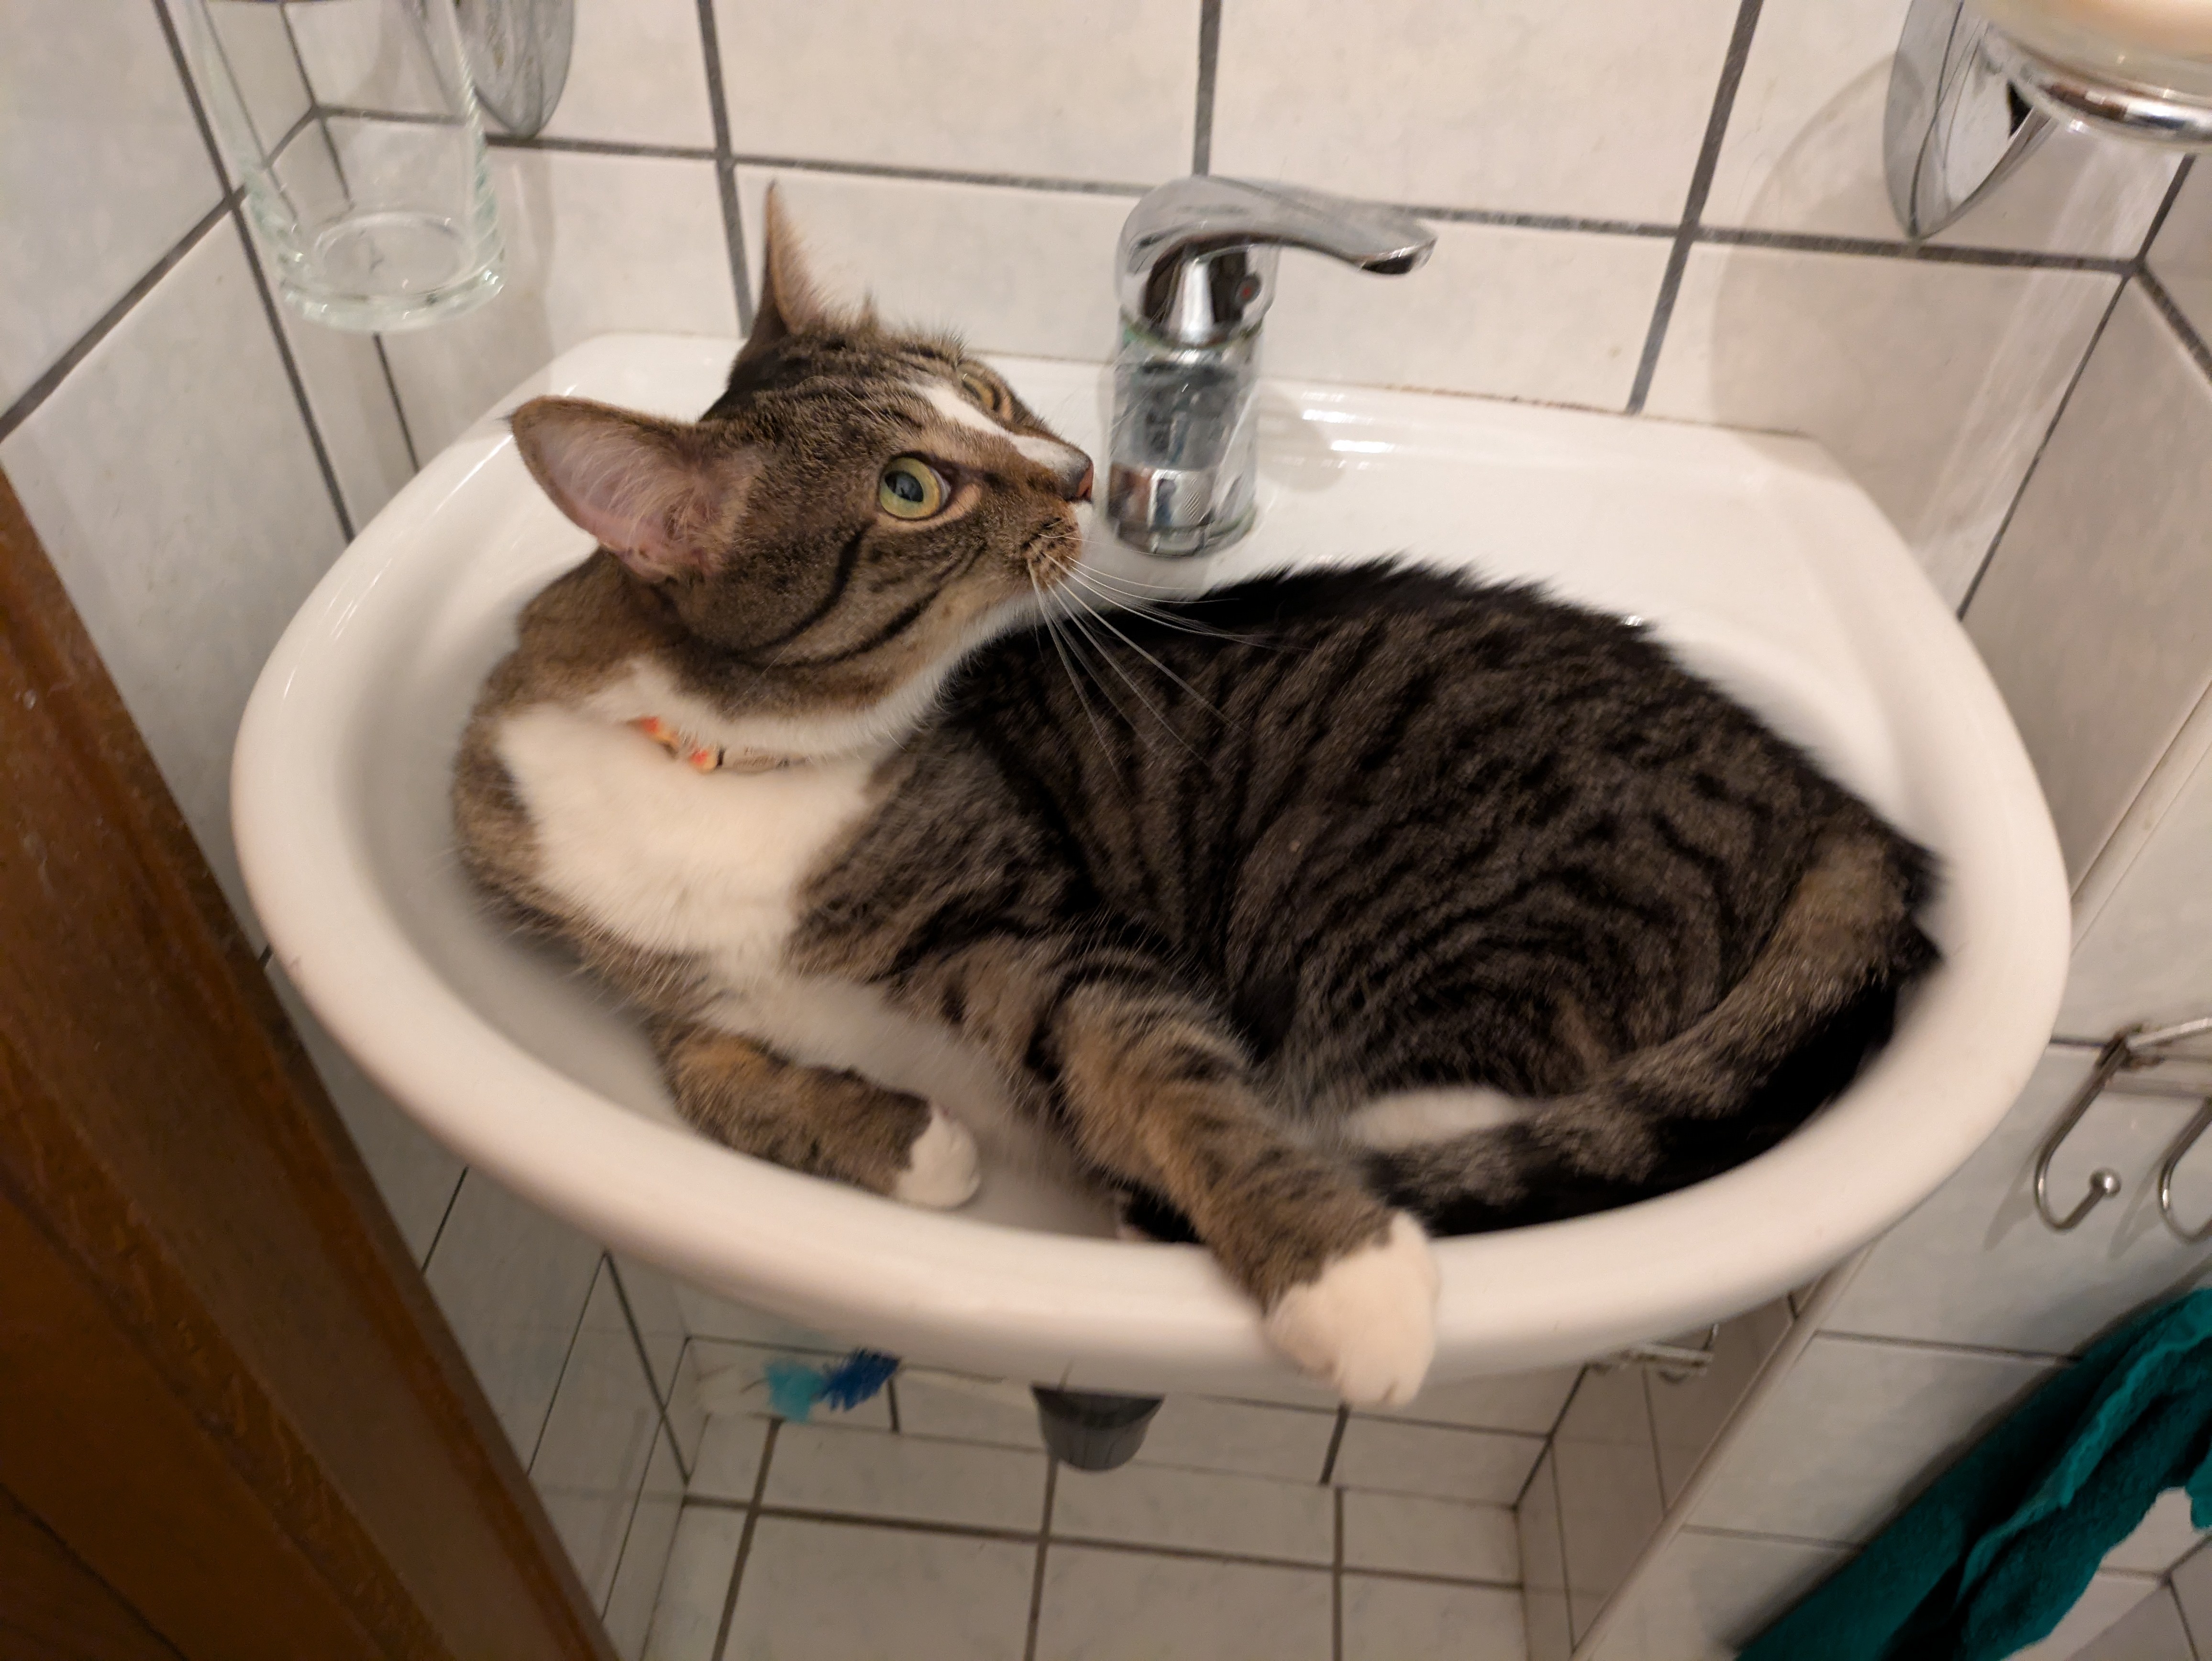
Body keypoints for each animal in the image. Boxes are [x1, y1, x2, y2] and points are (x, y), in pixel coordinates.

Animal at [453, 191, 1934, 1406]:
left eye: (991, 392)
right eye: (913, 487)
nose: (1076, 472)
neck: (729, 755)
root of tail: (1820, 790)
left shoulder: (1044, 934)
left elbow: (1167, 1072)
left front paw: (1343, 1274)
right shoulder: (602, 928)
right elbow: (698, 1067)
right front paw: (908, 1141)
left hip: (1450, 960)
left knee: (1463, 1139)